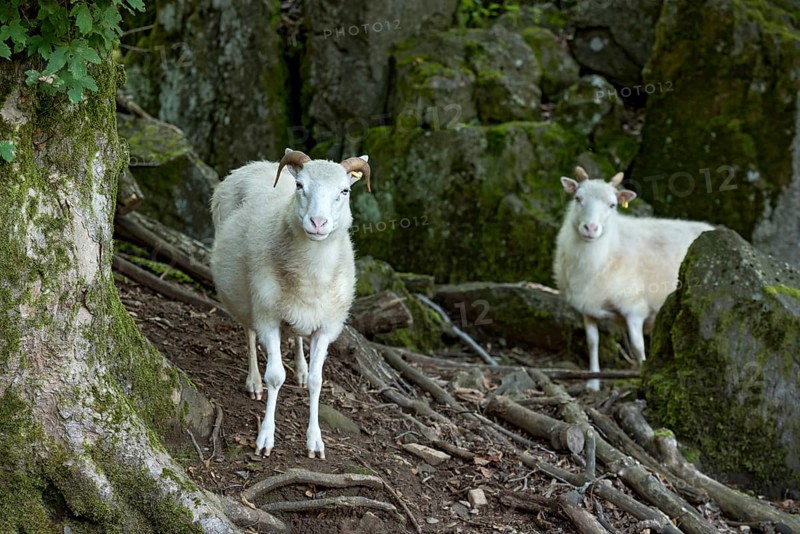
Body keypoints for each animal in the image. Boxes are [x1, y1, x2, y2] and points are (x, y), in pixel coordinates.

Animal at [210, 148, 371, 458]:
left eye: (344, 191)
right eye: (300, 186)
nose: (318, 223)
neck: (312, 272)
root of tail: (257, 164)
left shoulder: (326, 327)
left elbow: (318, 381)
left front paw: (315, 440)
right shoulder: (268, 316)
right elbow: (275, 377)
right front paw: (265, 437)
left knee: (296, 337)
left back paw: (301, 368)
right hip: (246, 295)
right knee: (249, 332)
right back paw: (253, 381)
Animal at [553, 167, 713, 391]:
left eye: (612, 205)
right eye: (578, 198)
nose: (590, 228)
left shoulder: (634, 307)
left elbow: (638, 347)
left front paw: (643, 378)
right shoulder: (588, 307)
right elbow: (592, 342)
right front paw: (593, 383)